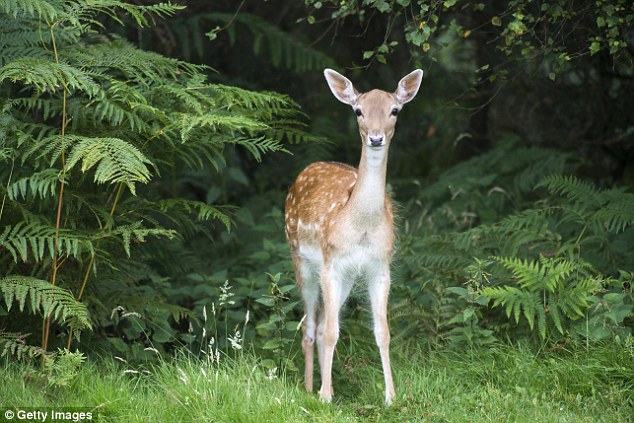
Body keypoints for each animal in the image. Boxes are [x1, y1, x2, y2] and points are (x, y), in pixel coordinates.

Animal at [284, 68, 422, 406]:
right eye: (358, 111)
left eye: (394, 110)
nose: (376, 137)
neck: (360, 226)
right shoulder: (331, 262)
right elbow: (331, 332)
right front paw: (323, 397)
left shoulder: (379, 266)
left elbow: (382, 332)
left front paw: (390, 397)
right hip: (301, 259)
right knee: (310, 326)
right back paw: (311, 388)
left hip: (345, 277)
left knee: (321, 324)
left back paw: (328, 386)